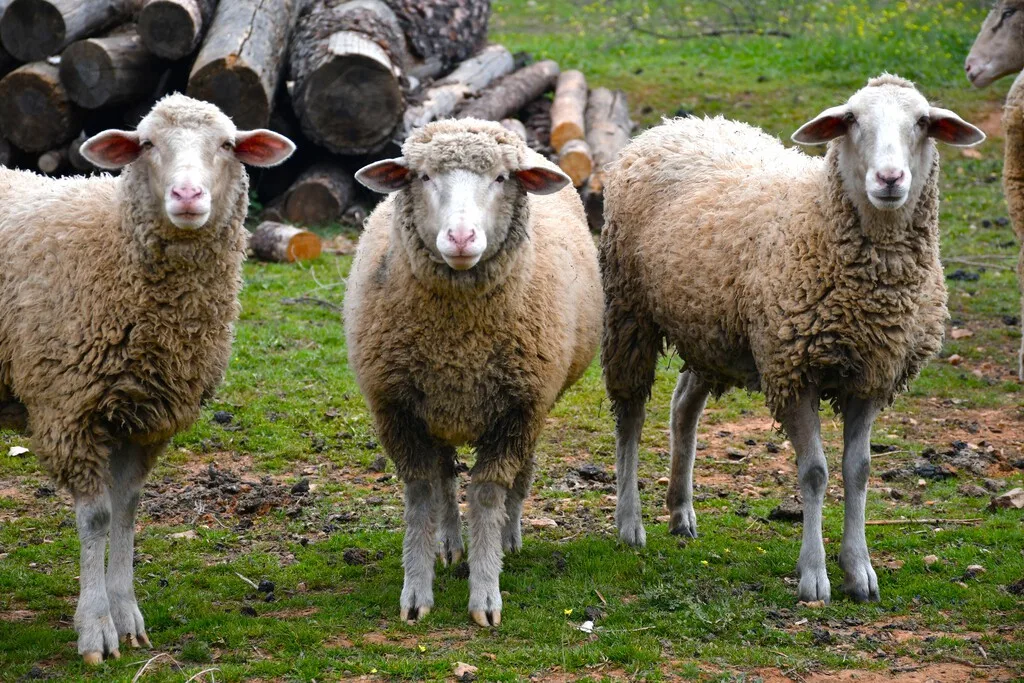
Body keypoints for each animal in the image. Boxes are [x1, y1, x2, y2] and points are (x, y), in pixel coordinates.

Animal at [0, 94, 294, 664]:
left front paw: (127, 615)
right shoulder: (68, 409)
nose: (187, 195)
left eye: (228, 144)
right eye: (148, 144)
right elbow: (96, 518)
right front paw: (95, 628)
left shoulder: (143, 418)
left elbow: (128, 510)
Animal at [346, 118, 601, 627]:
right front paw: (416, 591)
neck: (460, 345)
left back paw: (508, 537)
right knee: (444, 478)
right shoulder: (396, 410)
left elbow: (486, 495)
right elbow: (422, 492)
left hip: (533, 405)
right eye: (423, 176)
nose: (461, 238)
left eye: (501, 178)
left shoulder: (520, 410)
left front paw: (486, 593)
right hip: (439, 408)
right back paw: (448, 544)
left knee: (520, 475)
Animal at [600, 75, 984, 604]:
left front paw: (860, 570)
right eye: (851, 120)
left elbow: (859, 470)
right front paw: (814, 575)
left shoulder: (872, 375)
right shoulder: (793, 369)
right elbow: (815, 472)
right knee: (631, 415)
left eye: (923, 122)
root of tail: (674, 125)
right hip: (629, 311)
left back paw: (680, 511)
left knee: (683, 406)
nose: (889, 179)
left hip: (710, 327)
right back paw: (629, 523)